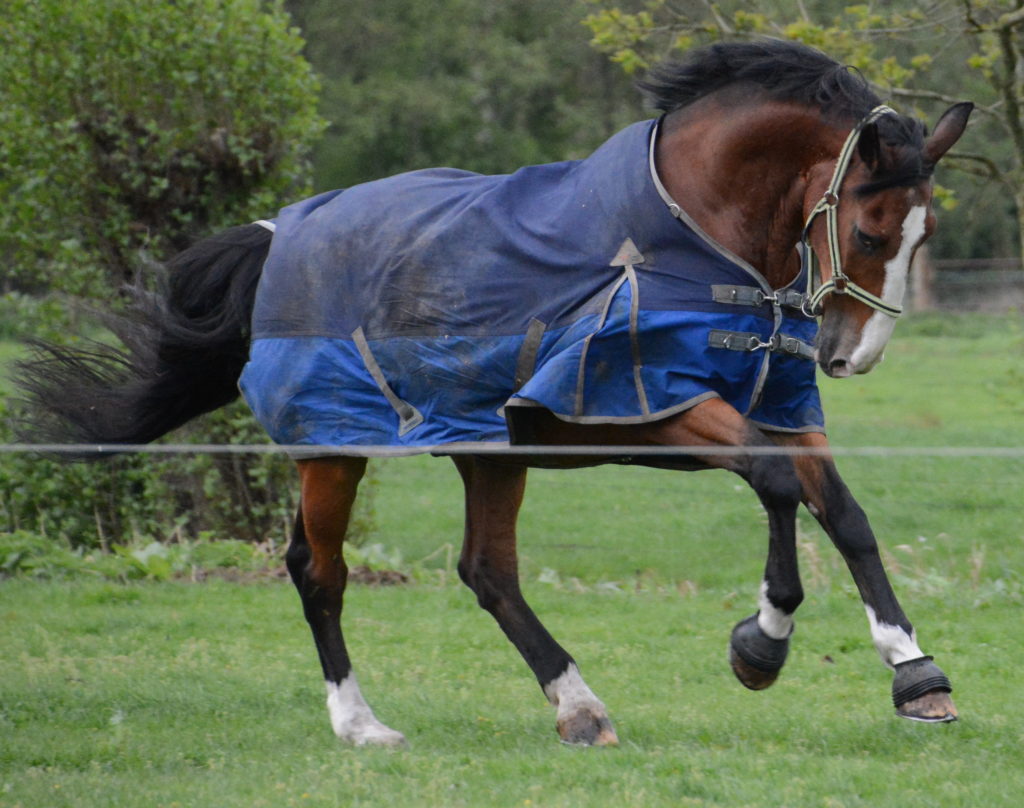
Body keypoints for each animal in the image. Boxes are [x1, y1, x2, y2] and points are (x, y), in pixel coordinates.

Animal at [15, 40, 972, 747]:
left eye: (924, 235)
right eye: (871, 229)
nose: (849, 357)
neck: (690, 234)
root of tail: (277, 231)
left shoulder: (775, 407)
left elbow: (844, 514)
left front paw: (915, 672)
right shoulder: (645, 405)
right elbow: (774, 484)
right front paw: (760, 646)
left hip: (487, 448)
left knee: (487, 571)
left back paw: (578, 707)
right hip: (336, 447)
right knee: (320, 572)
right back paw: (363, 725)